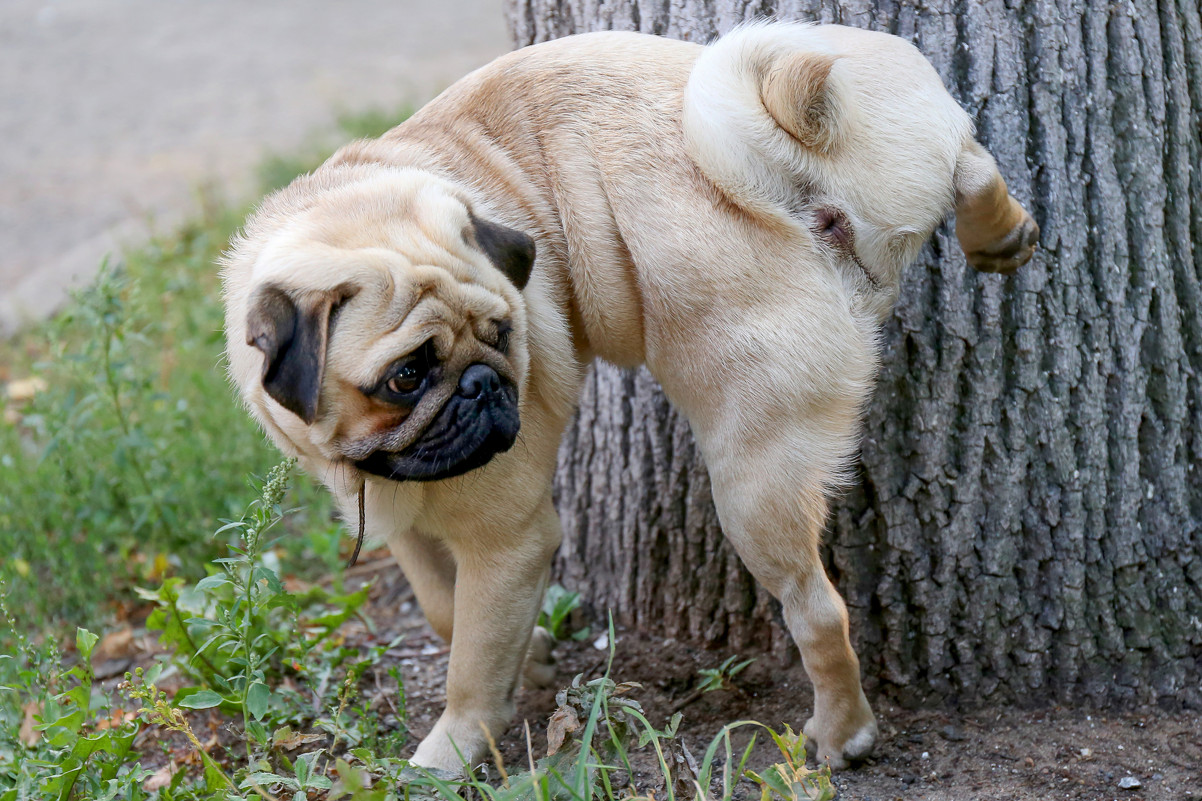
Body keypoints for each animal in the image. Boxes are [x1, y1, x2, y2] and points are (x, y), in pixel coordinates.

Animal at [223, 20, 1033, 769]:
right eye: (406, 377)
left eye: (502, 333)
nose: (484, 385)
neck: (374, 464)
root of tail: (795, 177)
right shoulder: (403, 524)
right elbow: (444, 609)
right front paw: (533, 654)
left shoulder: (509, 541)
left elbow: (472, 665)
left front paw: (452, 750)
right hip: (883, 93)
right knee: (970, 157)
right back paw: (1002, 232)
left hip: (752, 481)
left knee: (817, 610)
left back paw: (841, 735)